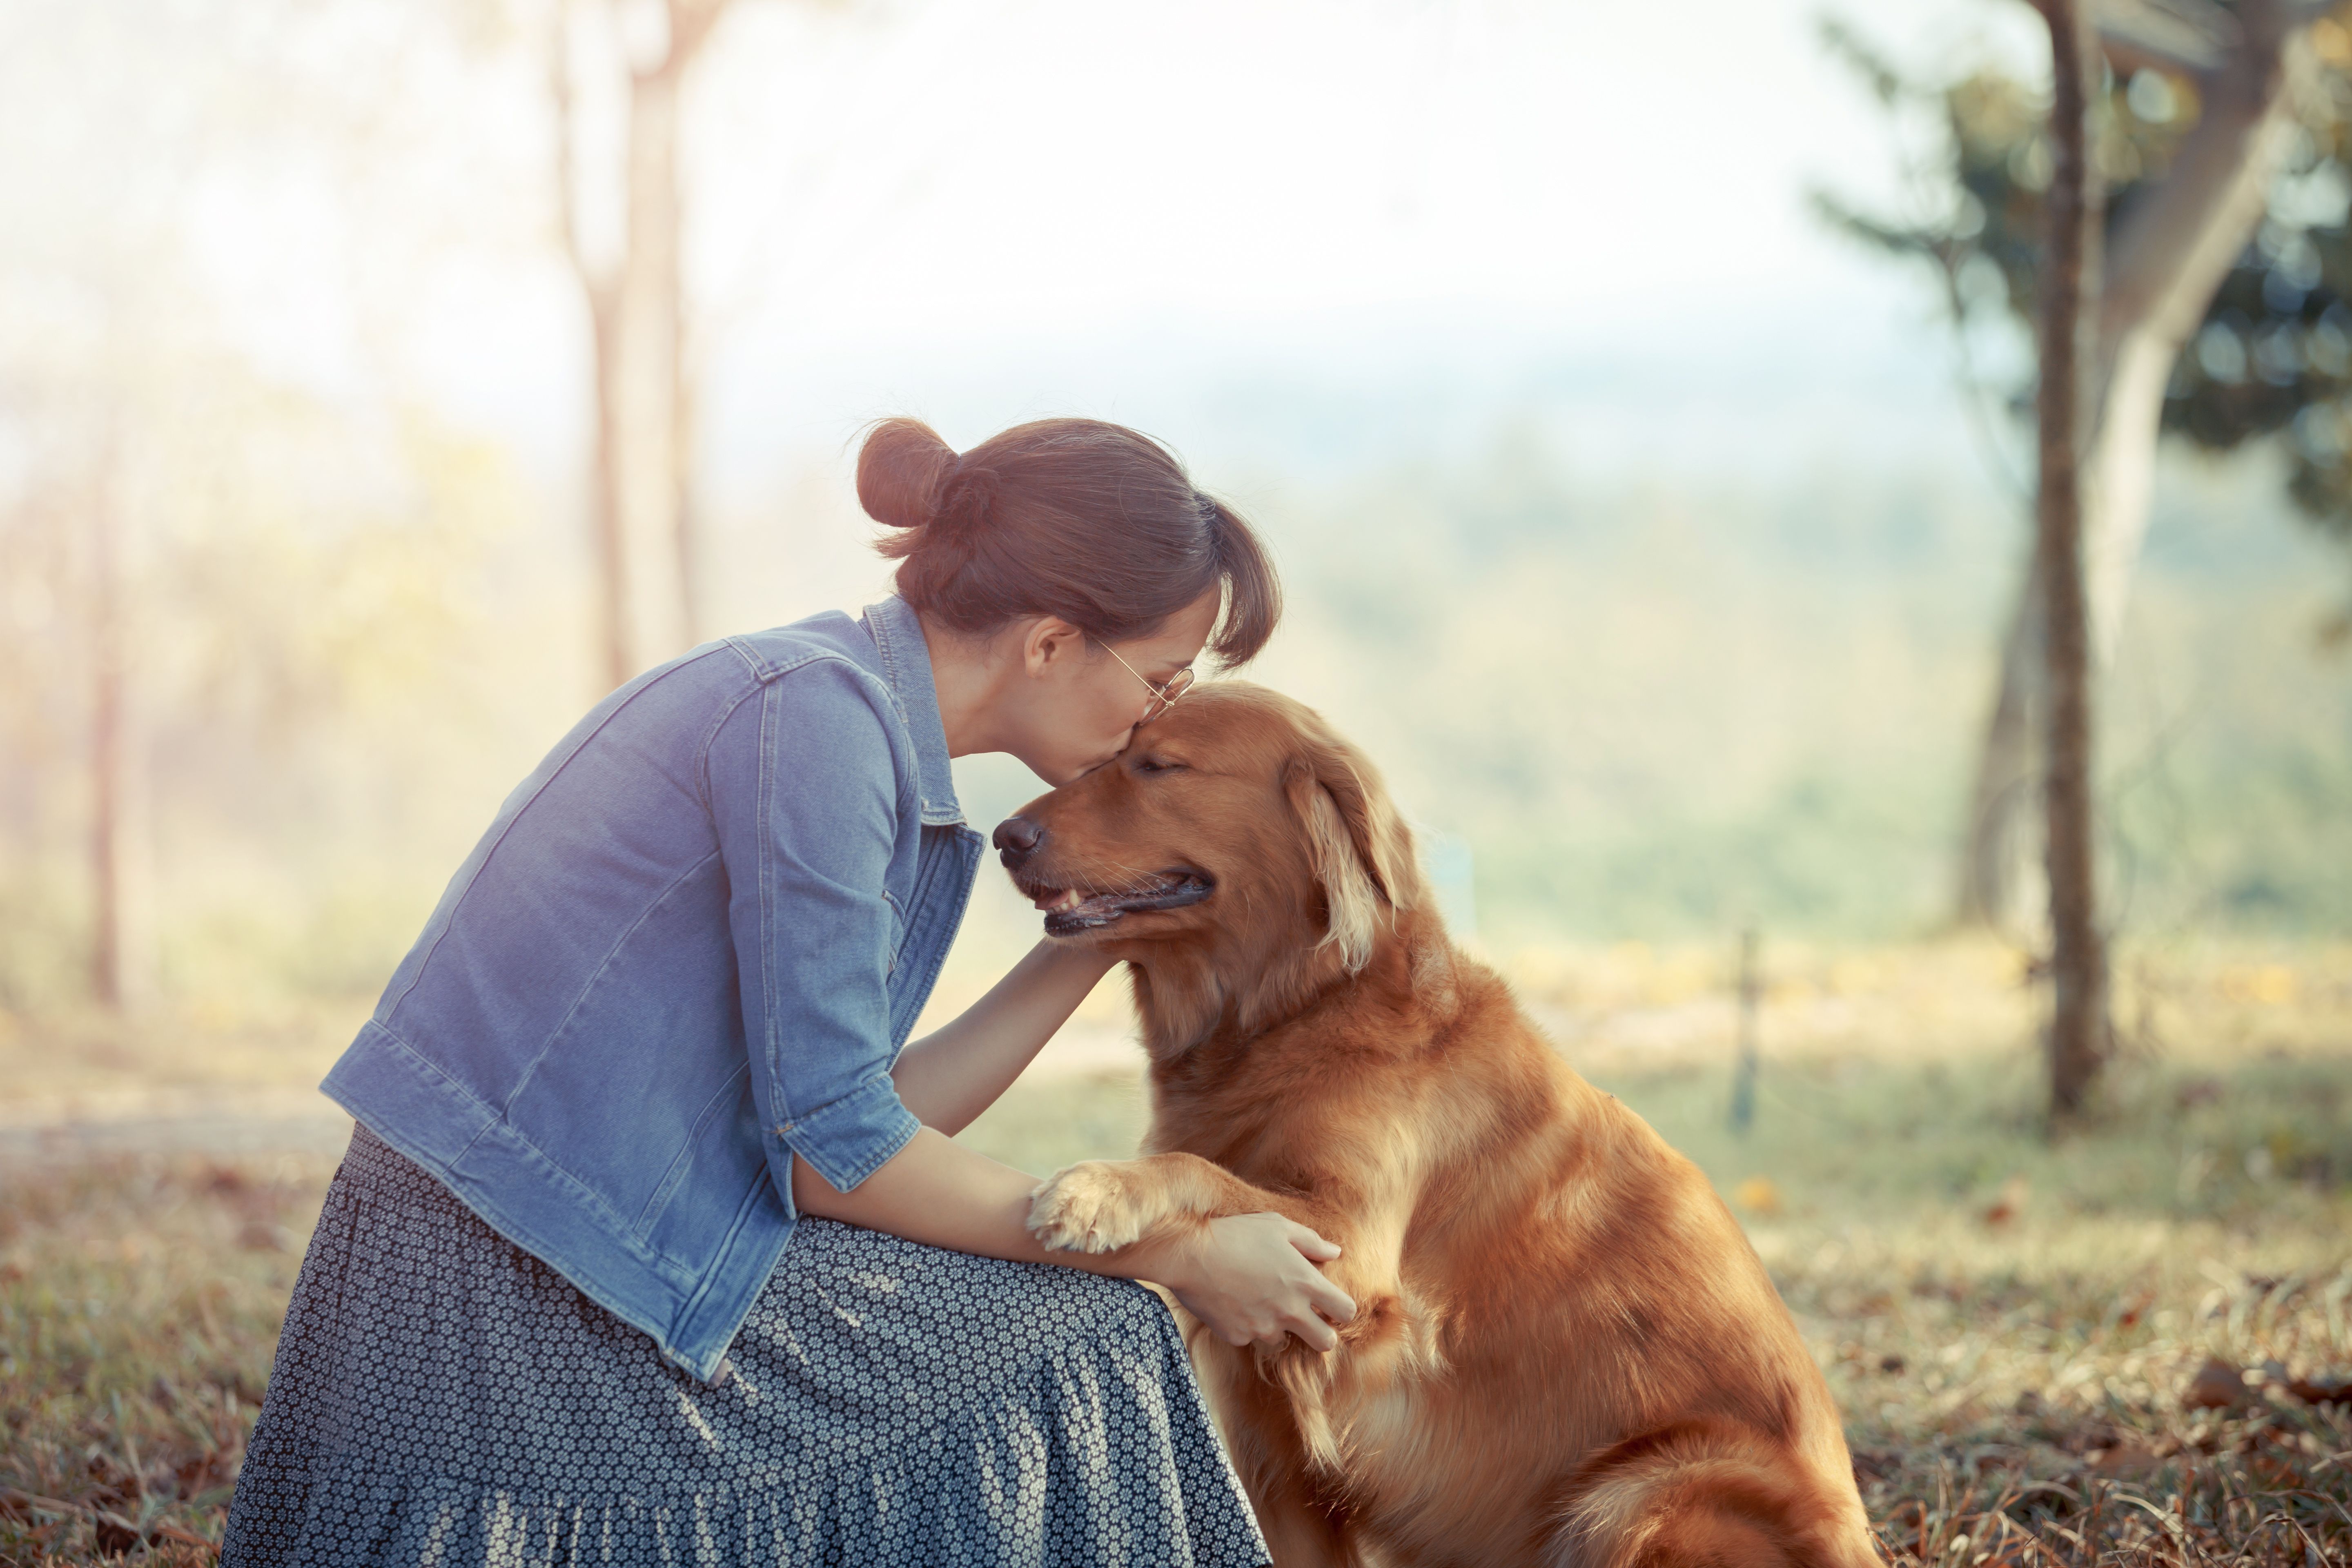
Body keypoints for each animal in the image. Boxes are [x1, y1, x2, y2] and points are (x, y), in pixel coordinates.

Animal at [1002, 686, 1882, 1568]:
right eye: (1104, 759)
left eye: (1159, 765)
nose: (1007, 839)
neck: (1297, 1009)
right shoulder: (1272, 1443)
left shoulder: (1346, 1255)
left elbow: (1199, 1170)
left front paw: (1094, 1190)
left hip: (1638, 1492)